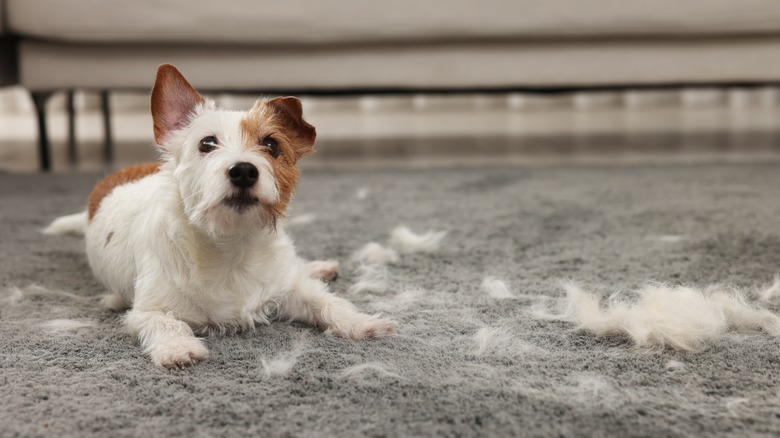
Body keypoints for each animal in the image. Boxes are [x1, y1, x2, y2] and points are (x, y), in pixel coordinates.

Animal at [44, 63, 396, 368]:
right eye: (207, 143)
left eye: (271, 144)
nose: (243, 171)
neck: (231, 246)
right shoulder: (148, 310)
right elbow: (164, 323)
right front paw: (178, 348)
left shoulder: (291, 290)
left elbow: (326, 302)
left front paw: (361, 322)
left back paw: (318, 267)